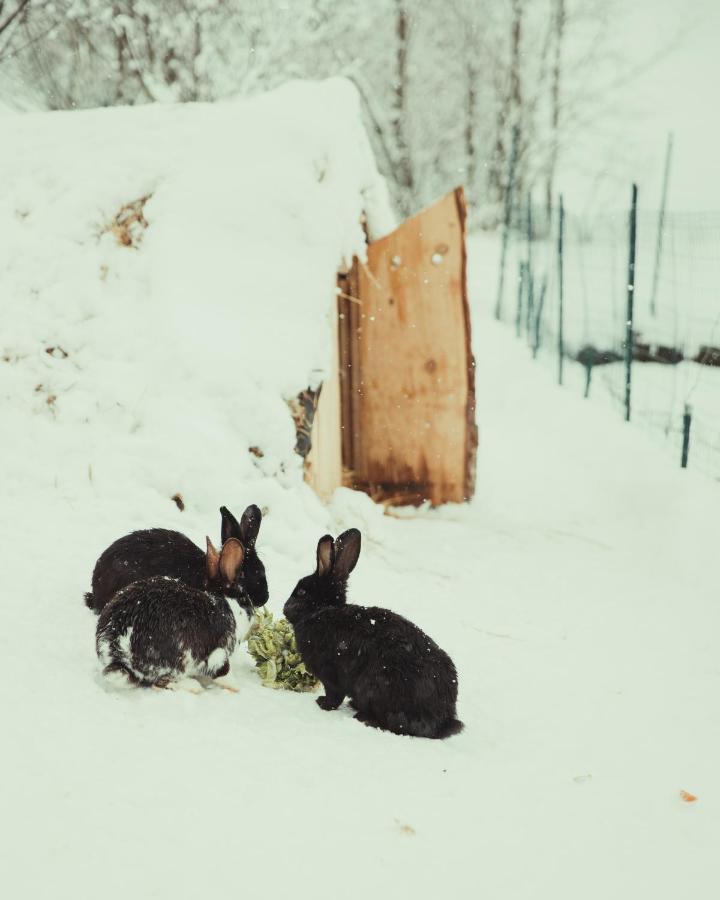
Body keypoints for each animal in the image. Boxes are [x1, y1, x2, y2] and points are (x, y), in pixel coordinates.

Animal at [95, 536, 250, 692]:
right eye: (244, 600)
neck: (223, 602)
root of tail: (118, 653)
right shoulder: (217, 654)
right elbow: (224, 673)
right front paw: (237, 688)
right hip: (176, 661)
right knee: (159, 682)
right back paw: (194, 686)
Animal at [284, 528, 464, 740]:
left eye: (301, 592)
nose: (285, 608)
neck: (322, 610)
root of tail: (443, 720)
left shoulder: (330, 675)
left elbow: (334, 695)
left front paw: (322, 703)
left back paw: (364, 718)